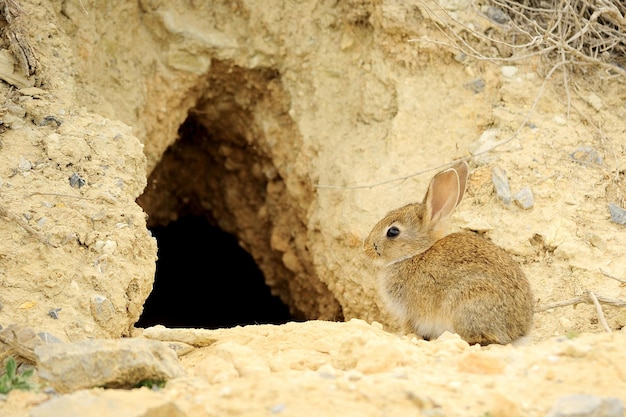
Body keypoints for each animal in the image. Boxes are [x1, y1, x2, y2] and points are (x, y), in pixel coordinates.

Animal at [360, 162, 532, 344]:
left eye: (393, 232)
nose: (366, 247)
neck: (415, 254)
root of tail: (518, 330)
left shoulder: (410, 312)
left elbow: (410, 327)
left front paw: (404, 335)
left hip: (467, 303)